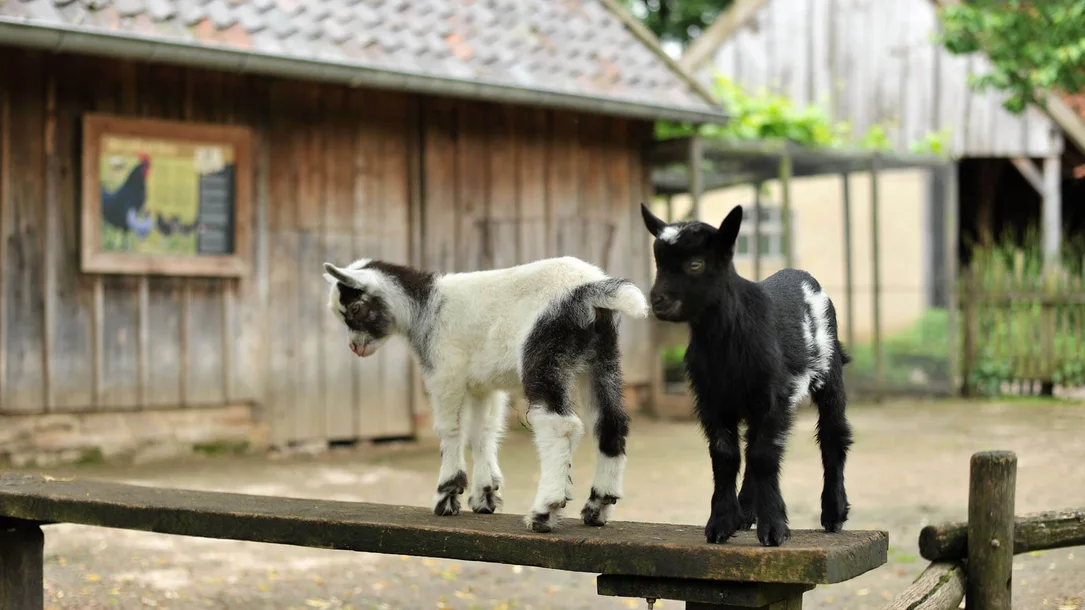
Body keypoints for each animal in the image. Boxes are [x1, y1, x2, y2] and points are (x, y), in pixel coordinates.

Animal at [322, 256, 650, 533]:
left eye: (354, 309)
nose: (355, 347)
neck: (429, 307)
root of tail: (590, 288)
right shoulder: (483, 385)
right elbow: (483, 431)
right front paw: (485, 495)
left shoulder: (446, 372)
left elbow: (450, 429)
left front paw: (447, 495)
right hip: (601, 359)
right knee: (611, 422)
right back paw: (599, 505)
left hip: (546, 354)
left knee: (561, 427)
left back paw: (544, 511)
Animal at [639, 203, 853, 547]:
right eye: (658, 262)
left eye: (695, 264)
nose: (658, 301)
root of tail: (802, 275)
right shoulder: (711, 399)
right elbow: (725, 456)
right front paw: (721, 524)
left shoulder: (772, 396)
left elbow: (764, 455)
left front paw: (774, 529)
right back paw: (746, 512)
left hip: (829, 371)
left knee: (833, 435)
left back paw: (833, 512)